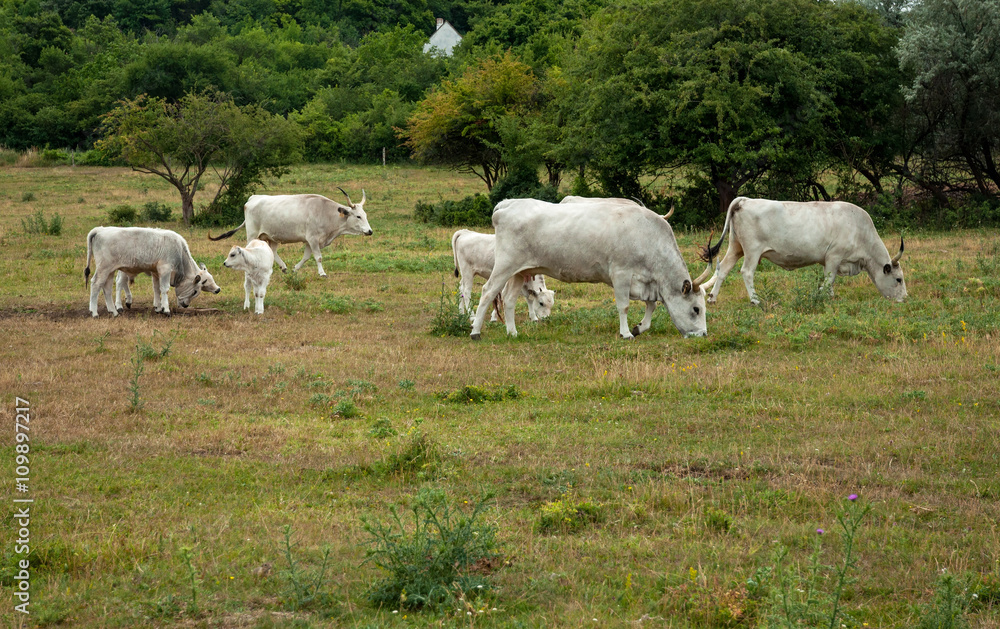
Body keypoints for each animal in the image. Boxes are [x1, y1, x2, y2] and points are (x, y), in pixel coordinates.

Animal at [85, 226, 222, 316]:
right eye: (194, 291)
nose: (186, 305)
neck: (179, 250)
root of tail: (100, 229)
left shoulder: (156, 273)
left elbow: (157, 289)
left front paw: (158, 307)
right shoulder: (165, 270)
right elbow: (165, 289)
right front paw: (166, 309)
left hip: (110, 271)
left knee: (107, 288)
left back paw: (113, 311)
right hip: (104, 268)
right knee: (96, 284)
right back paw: (94, 312)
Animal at [209, 186, 374, 274]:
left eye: (365, 215)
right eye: (358, 216)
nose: (370, 231)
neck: (325, 212)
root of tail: (252, 199)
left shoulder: (309, 241)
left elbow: (307, 257)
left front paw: (295, 269)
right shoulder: (313, 239)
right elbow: (318, 257)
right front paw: (322, 273)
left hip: (271, 236)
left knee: (272, 251)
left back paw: (282, 267)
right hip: (253, 234)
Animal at [470, 200, 712, 338]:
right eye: (696, 309)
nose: (702, 334)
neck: (648, 237)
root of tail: (507, 204)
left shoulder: (647, 282)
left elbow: (651, 305)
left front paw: (639, 328)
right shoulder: (621, 274)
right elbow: (624, 306)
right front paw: (626, 333)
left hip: (520, 271)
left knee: (509, 299)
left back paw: (512, 332)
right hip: (505, 265)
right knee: (488, 292)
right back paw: (475, 332)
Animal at [704, 196, 908, 304]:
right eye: (898, 279)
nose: (905, 298)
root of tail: (745, 200)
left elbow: (828, 281)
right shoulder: (834, 257)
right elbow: (829, 279)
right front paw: (823, 296)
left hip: (735, 247)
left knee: (723, 268)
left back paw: (712, 297)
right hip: (752, 251)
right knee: (746, 272)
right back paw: (755, 300)